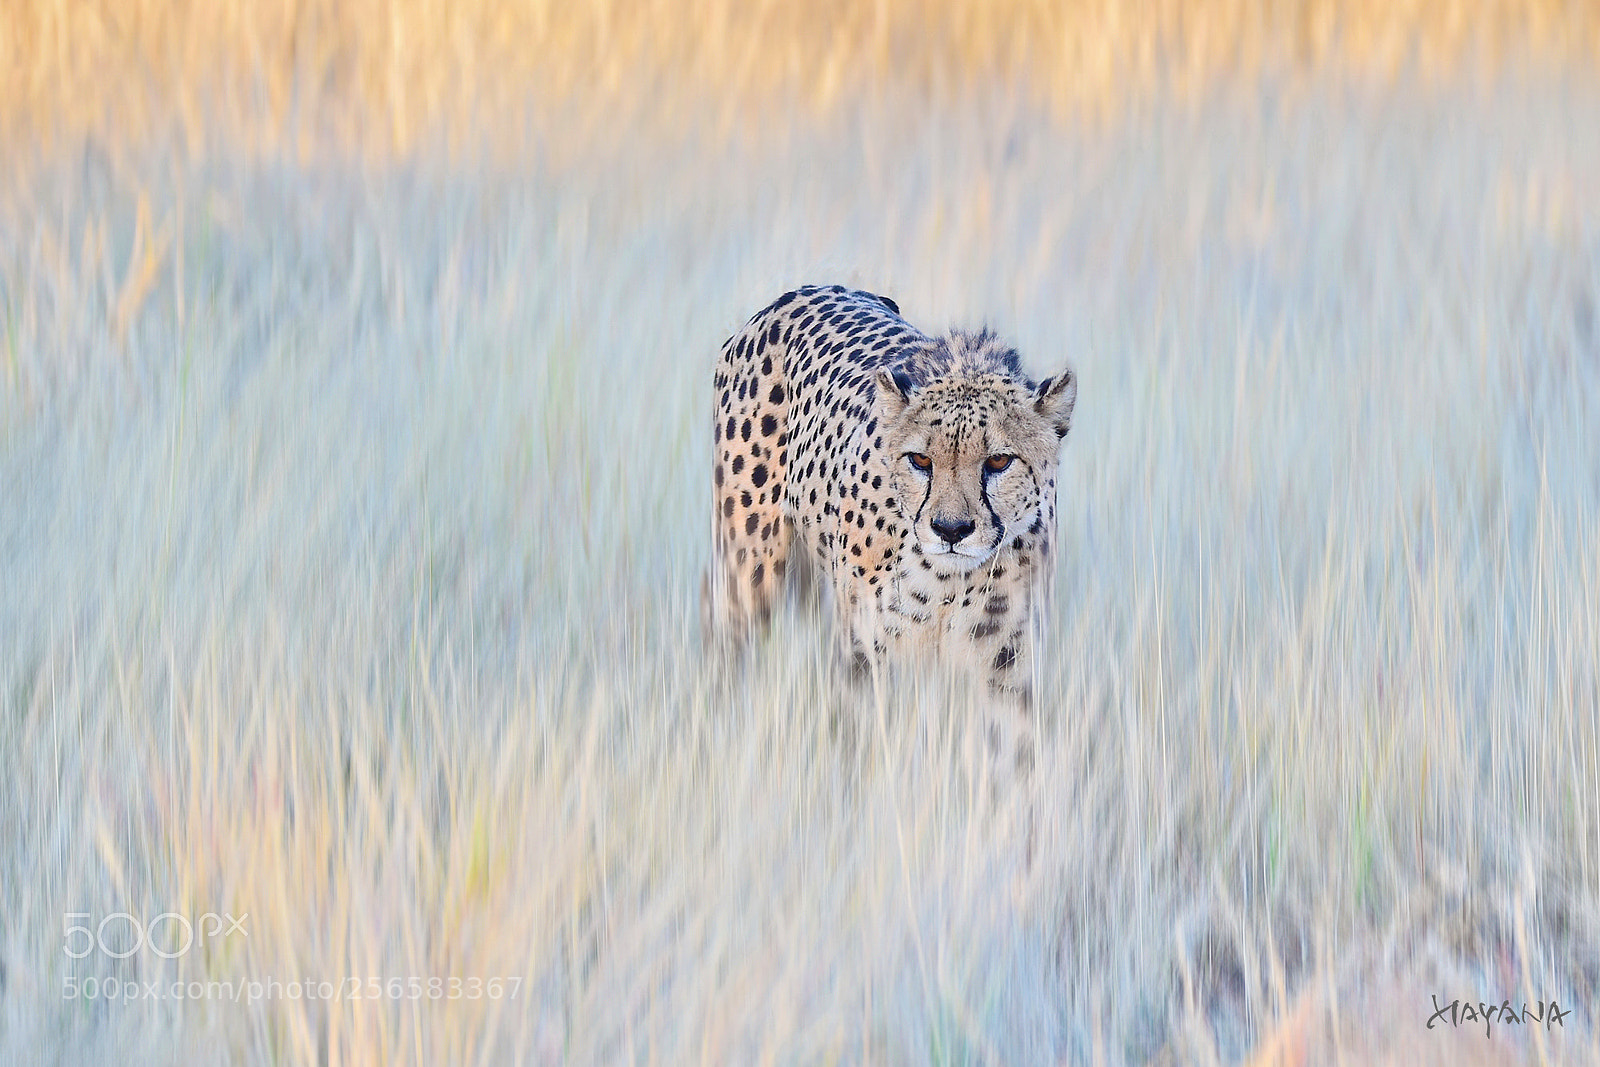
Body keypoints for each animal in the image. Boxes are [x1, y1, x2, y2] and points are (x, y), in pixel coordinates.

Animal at [707, 284, 1077, 726]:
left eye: (999, 461)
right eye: (920, 460)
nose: (951, 530)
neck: (948, 582)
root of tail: (804, 291)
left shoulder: (1006, 662)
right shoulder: (866, 650)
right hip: (749, 573)